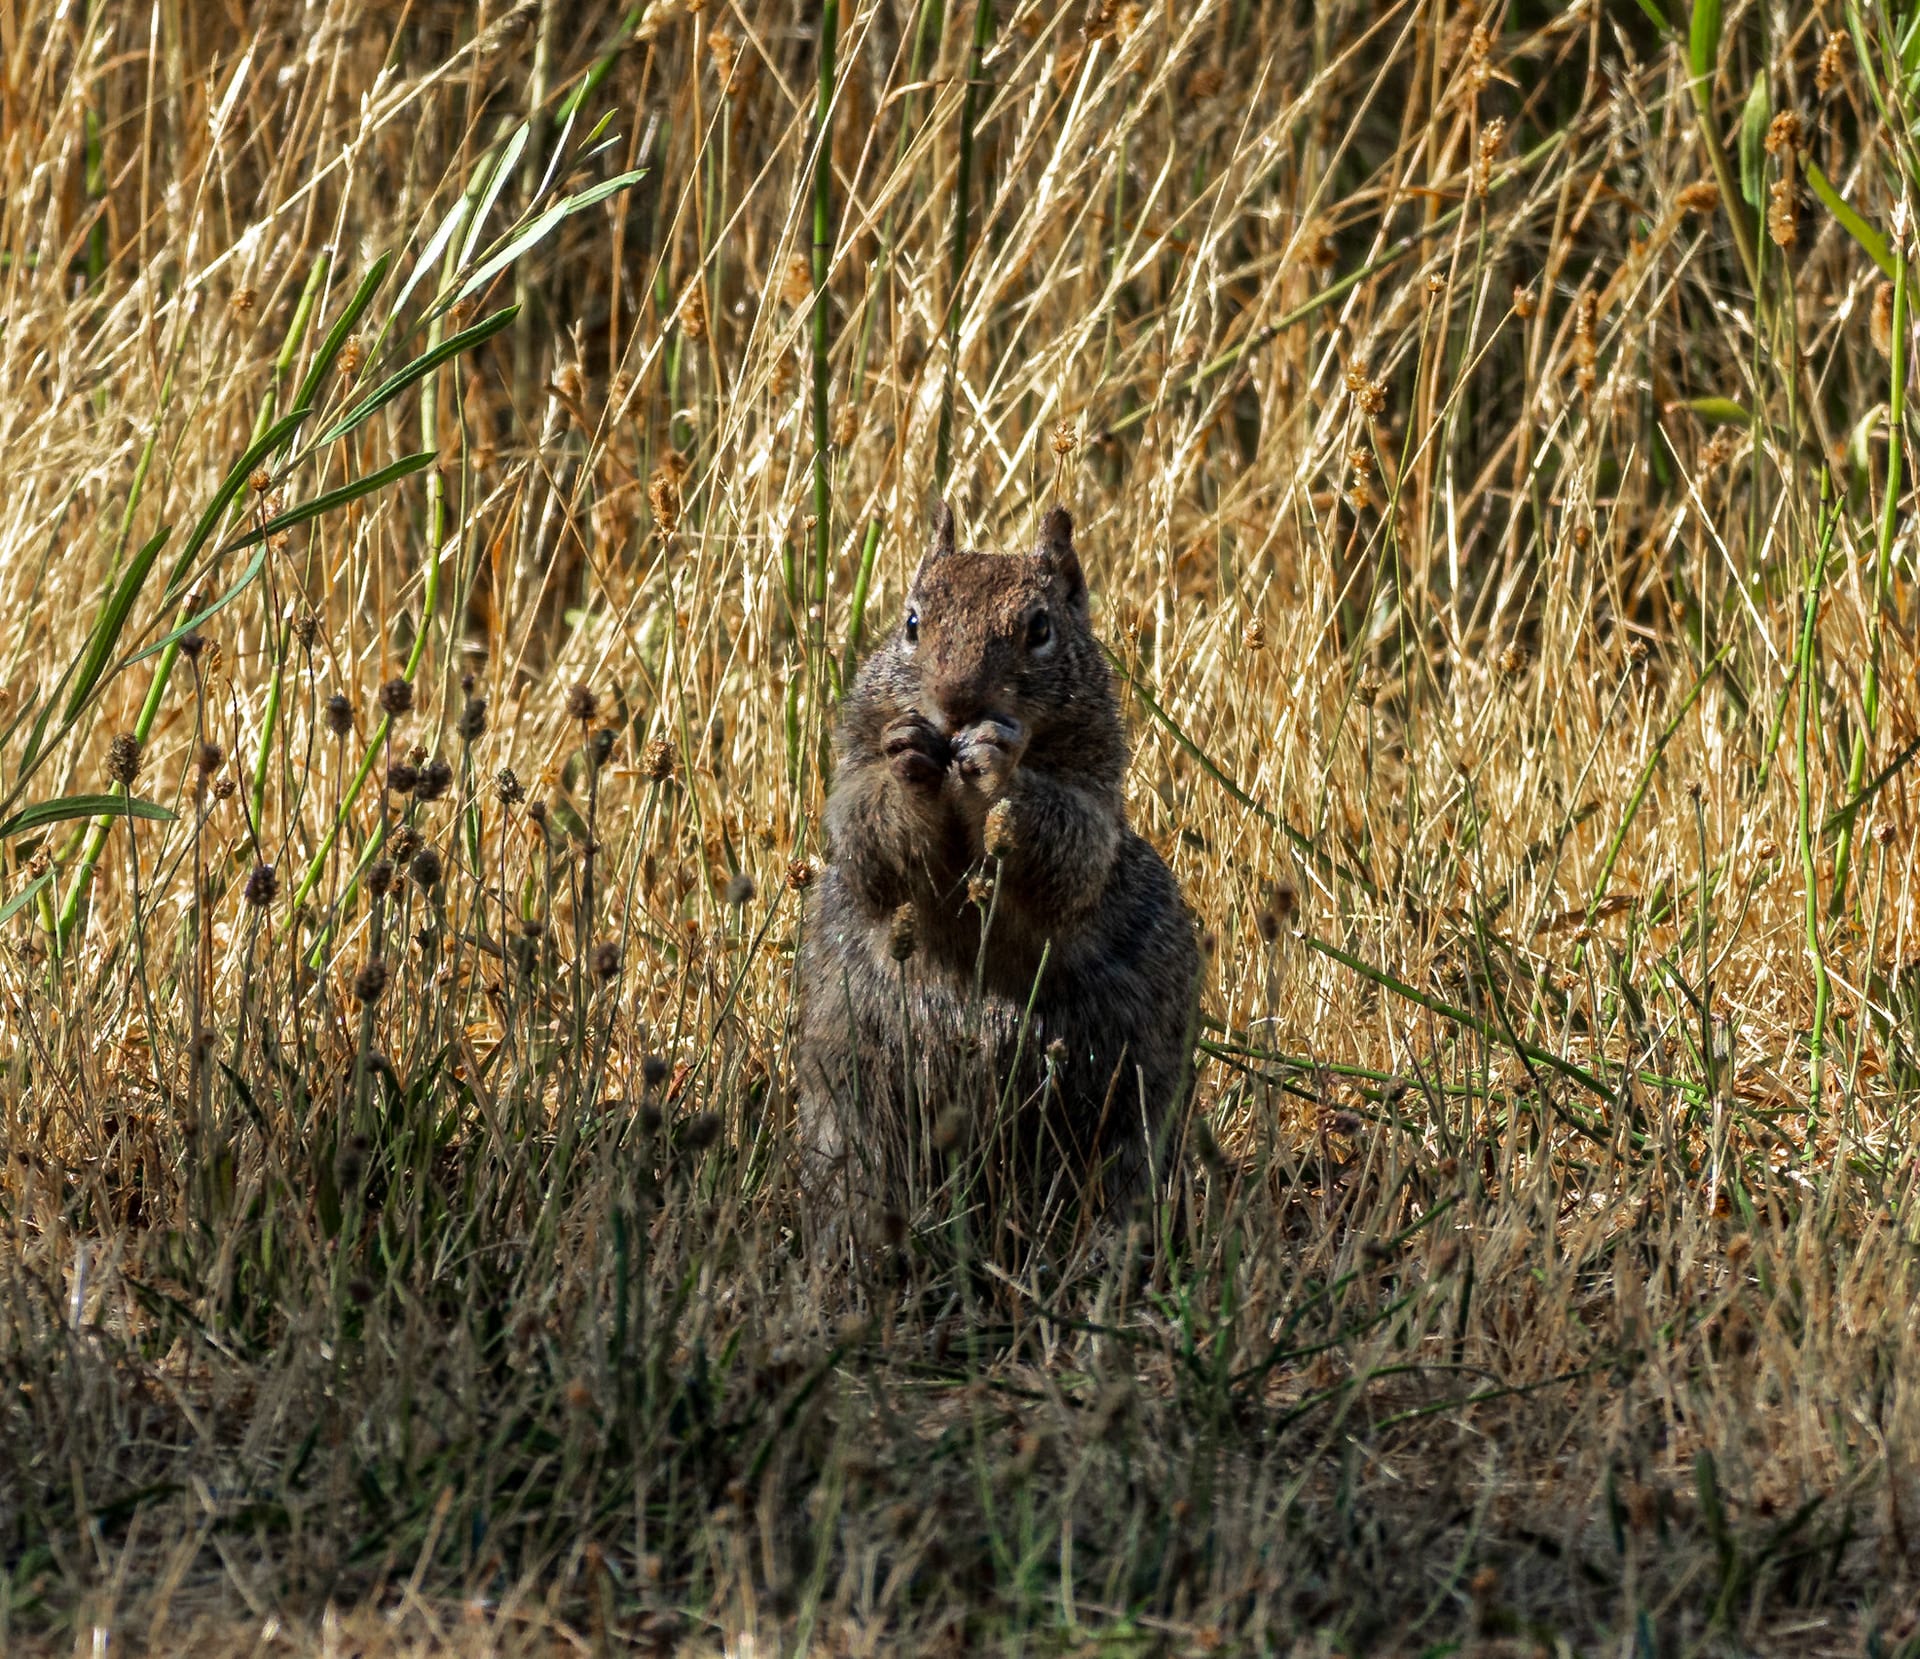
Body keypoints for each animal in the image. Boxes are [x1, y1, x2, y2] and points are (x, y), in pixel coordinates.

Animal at [796, 502, 1200, 1225]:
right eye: (911, 622)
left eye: (1040, 628)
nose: (956, 702)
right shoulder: (852, 780)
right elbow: (865, 836)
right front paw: (907, 758)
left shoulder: (1091, 804)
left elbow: (1065, 850)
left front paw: (995, 762)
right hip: (846, 1094)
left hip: (1131, 1100)